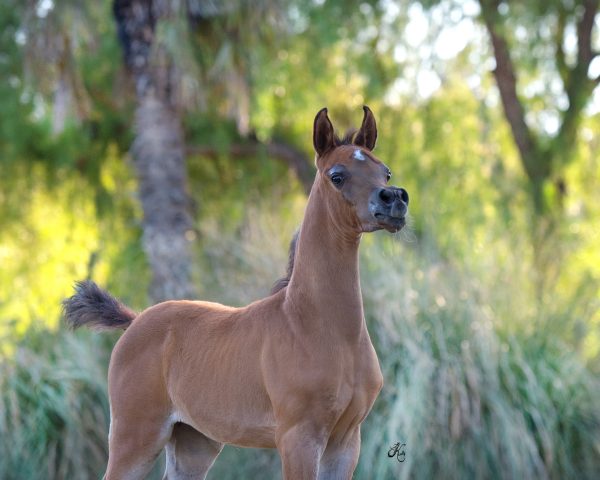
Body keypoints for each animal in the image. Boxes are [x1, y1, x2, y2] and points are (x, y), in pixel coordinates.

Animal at [63, 106, 410, 480]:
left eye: (385, 172)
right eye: (337, 176)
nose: (394, 199)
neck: (319, 326)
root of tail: (136, 320)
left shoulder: (345, 442)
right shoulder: (299, 438)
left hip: (193, 441)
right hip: (136, 434)